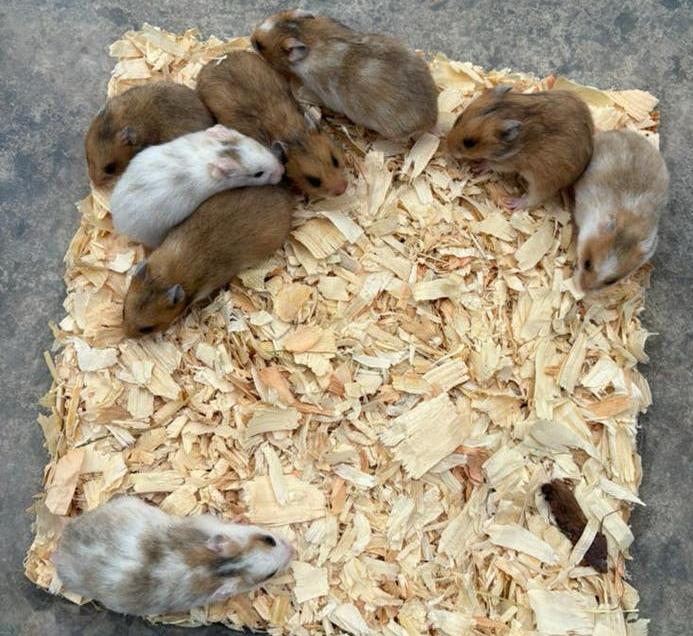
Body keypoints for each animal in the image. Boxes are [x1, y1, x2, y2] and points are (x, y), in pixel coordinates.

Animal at [54, 496, 293, 616]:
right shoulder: (204, 520)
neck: (216, 567)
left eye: (269, 539)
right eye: (270, 574)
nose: (294, 549)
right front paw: (240, 515)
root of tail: (61, 543)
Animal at [446, 86, 594, 210]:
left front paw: (476, 166)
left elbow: (489, 163)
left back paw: (512, 203)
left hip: (545, 180)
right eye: (458, 118)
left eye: (469, 143)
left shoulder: (509, 163)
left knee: (534, 198)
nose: (447, 148)